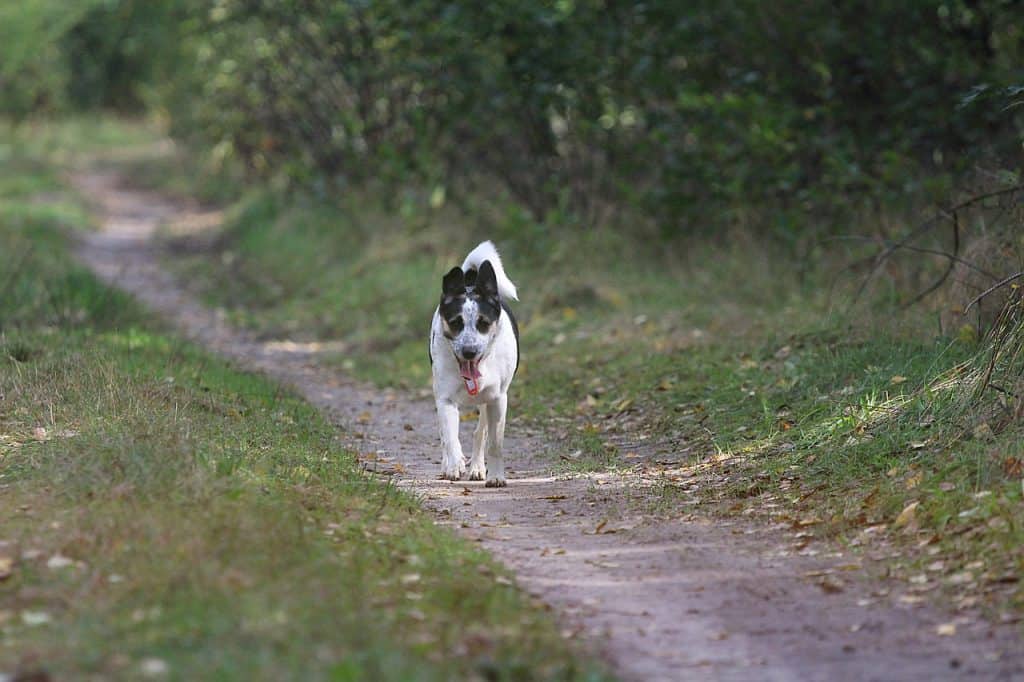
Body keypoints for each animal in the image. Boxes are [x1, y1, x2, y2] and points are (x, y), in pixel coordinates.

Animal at [428, 241, 520, 485]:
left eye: (484, 323)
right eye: (455, 323)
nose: (469, 351)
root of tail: (469, 281)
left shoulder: (497, 400)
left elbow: (495, 443)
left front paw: (496, 476)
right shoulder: (445, 398)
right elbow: (450, 437)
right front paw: (454, 465)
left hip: (486, 404)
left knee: (480, 433)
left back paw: (477, 468)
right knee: (446, 435)